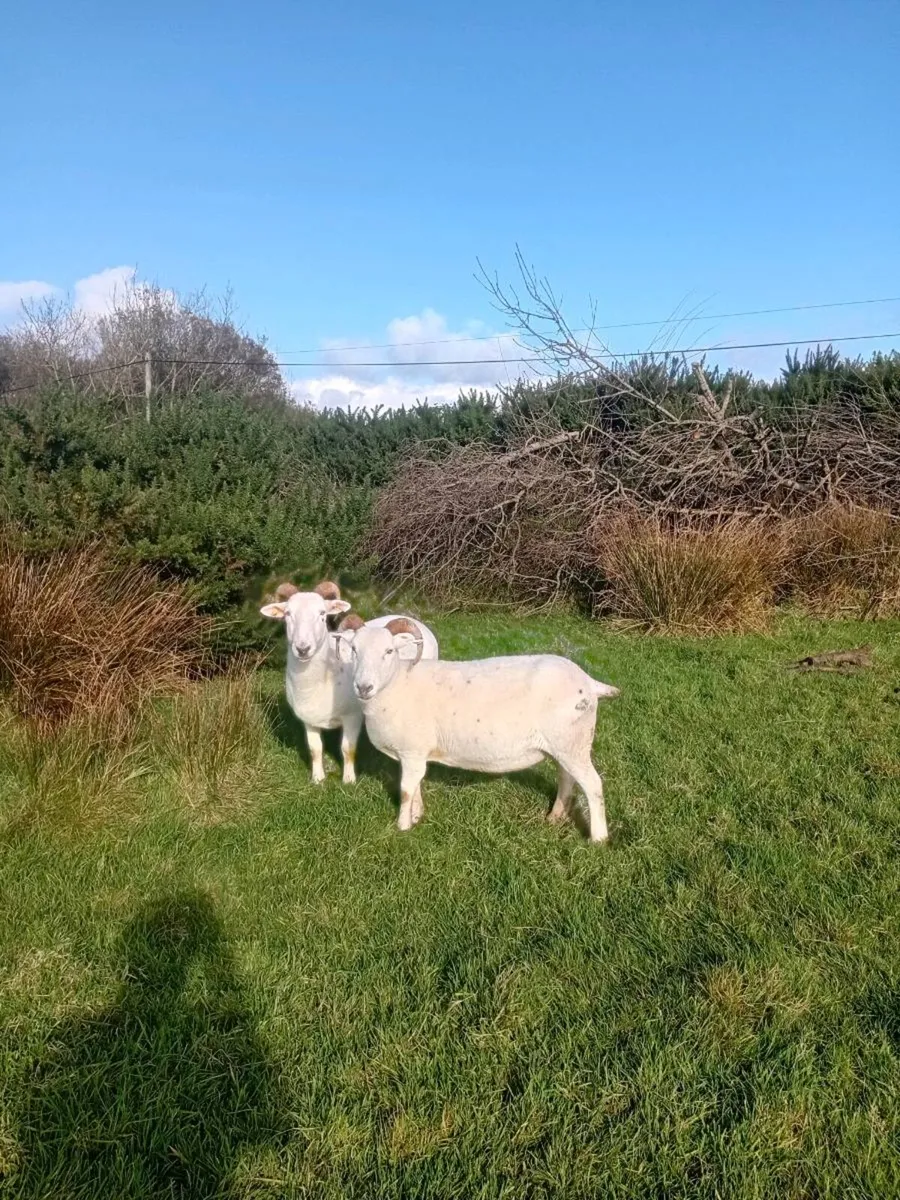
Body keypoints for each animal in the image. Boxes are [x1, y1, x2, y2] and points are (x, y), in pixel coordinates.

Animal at [260, 582, 439, 785]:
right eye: (288, 614)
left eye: (322, 614)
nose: (303, 648)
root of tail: (414, 620)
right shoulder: (308, 719)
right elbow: (315, 749)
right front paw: (318, 779)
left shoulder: (352, 716)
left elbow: (347, 748)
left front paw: (349, 780)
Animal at [334, 618, 620, 841]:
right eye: (354, 649)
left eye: (389, 651)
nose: (363, 687)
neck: (398, 684)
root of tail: (589, 682)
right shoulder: (414, 753)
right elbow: (415, 787)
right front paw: (417, 815)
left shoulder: (412, 751)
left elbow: (405, 790)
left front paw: (402, 826)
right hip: (565, 745)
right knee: (566, 778)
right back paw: (555, 816)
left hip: (573, 743)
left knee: (593, 785)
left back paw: (598, 839)